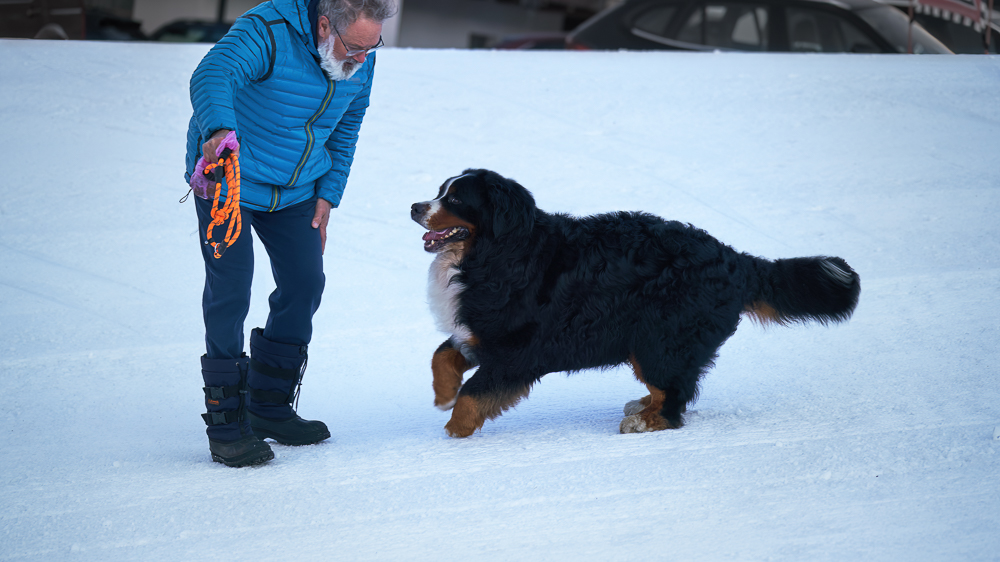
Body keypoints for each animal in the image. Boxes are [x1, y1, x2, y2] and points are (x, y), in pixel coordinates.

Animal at [410, 168, 856, 436]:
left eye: (457, 199)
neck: (497, 252)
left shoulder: (513, 349)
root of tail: (734, 259)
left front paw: (454, 431)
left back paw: (645, 422)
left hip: (662, 338)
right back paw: (642, 406)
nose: (414, 206)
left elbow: (474, 395)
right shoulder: (477, 330)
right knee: (673, 388)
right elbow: (441, 356)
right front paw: (443, 394)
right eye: (439, 191)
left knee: (674, 398)